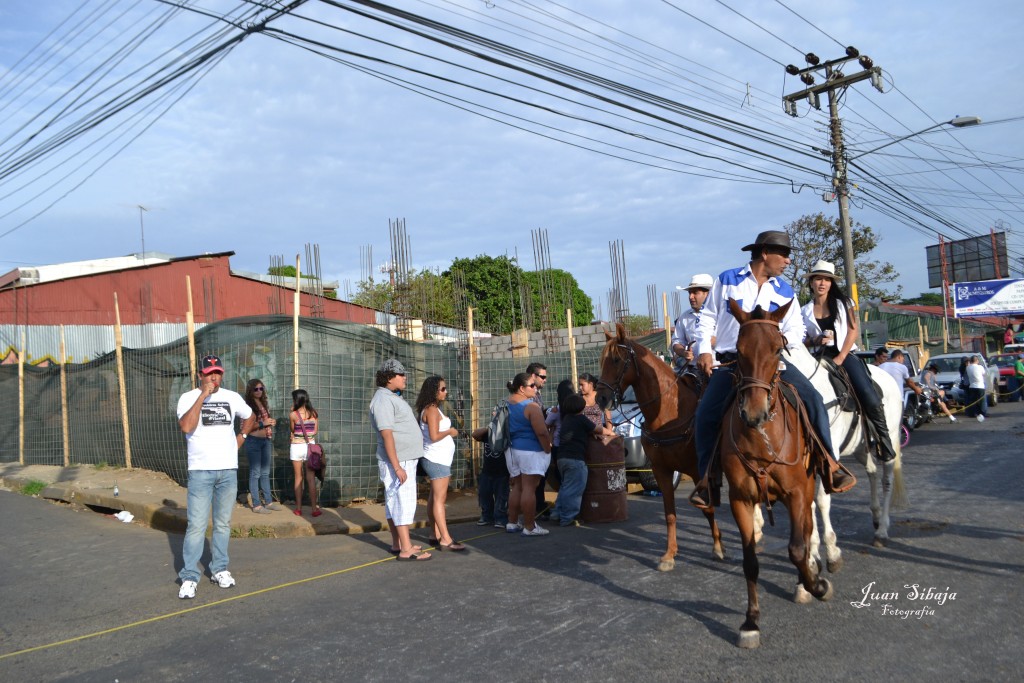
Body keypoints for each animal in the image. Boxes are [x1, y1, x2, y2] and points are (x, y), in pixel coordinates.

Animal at [598, 323, 724, 569]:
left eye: (616, 360)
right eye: (601, 360)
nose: (600, 398)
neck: (670, 411)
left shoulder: (698, 471)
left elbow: (708, 508)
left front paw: (717, 547)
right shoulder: (661, 470)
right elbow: (670, 514)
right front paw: (669, 555)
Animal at [729, 301, 831, 651]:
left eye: (777, 349)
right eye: (738, 350)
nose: (753, 413)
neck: (763, 439)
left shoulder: (797, 493)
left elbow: (797, 548)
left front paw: (817, 585)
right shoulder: (740, 501)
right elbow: (749, 561)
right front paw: (750, 622)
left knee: (808, 531)